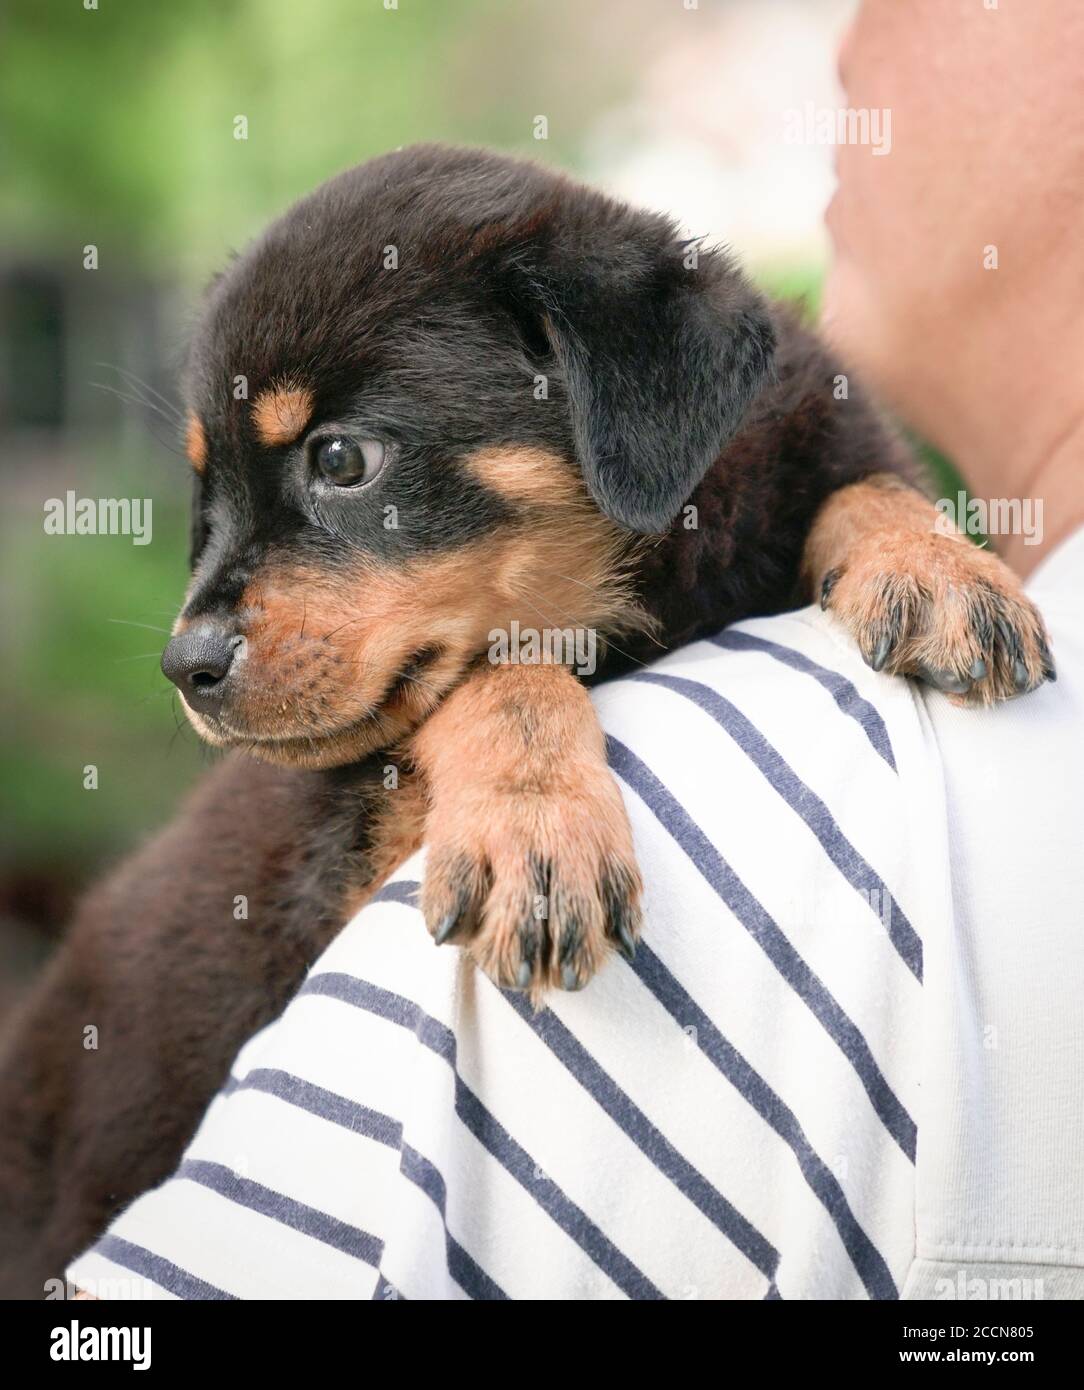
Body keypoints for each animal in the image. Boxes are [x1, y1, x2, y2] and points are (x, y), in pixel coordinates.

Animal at [0, 146, 1050, 1295]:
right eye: (206, 495)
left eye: (339, 459)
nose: (184, 666)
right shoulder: (343, 866)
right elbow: (495, 674)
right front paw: (534, 835)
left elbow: (857, 485)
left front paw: (937, 567)